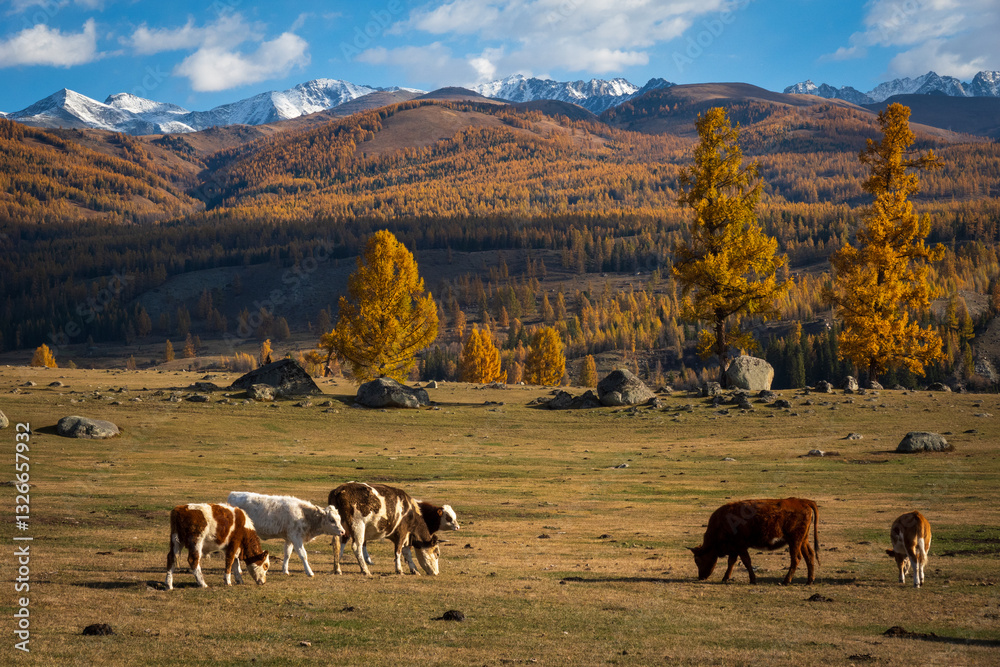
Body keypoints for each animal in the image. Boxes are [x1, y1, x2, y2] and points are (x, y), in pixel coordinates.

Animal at [689, 497, 820, 585]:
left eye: (697, 560)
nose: (701, 577)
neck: (721, 522)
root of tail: (803, 501)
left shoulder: (740, 546)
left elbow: (746, 561)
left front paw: (752, 579)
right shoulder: (734, 548)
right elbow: (731, 562)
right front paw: (725, 578)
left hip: (794, 541)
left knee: (796, 558)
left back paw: (786, 581)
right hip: (803, 540)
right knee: (809, 555)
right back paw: (809, 581)